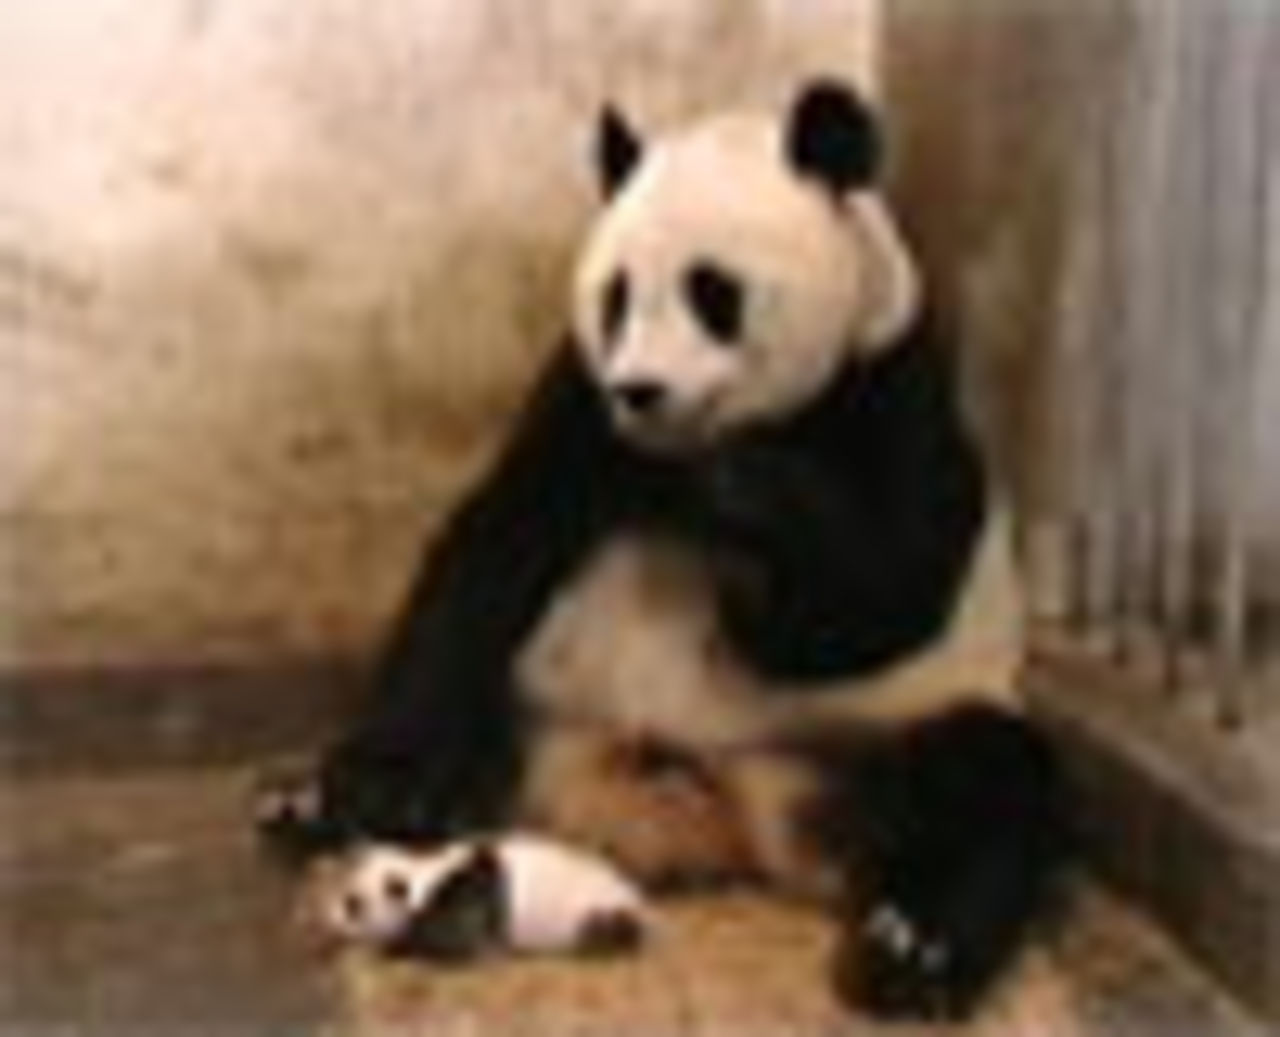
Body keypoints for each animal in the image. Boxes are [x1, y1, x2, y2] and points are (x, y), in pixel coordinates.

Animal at [259, 78, 1068, 1020]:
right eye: (615, 296)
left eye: (713, 291)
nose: (642, 390)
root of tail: (711, 813)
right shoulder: (580, 396)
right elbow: (497, 542)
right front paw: (376, 785)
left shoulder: (892, 385)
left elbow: (883, 594)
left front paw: (745, 500)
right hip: (541, 698)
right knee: (476, 709)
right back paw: (317, 804)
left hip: (863, 733)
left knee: (987, 778)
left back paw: (908, 946)